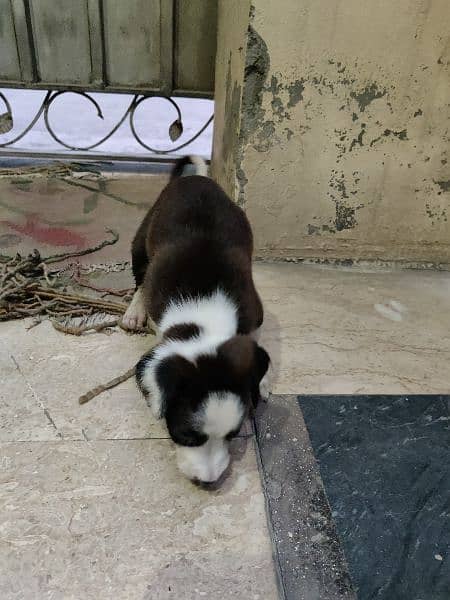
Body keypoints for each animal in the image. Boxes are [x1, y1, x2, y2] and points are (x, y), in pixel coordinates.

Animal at [123, 157, 268, 486]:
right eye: (187, 437)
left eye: (233, 435)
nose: (209, 483)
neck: (204, 319)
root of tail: (196, 178)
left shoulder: (253, 313)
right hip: (141, 239)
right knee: (139, 278)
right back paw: (134, 311)